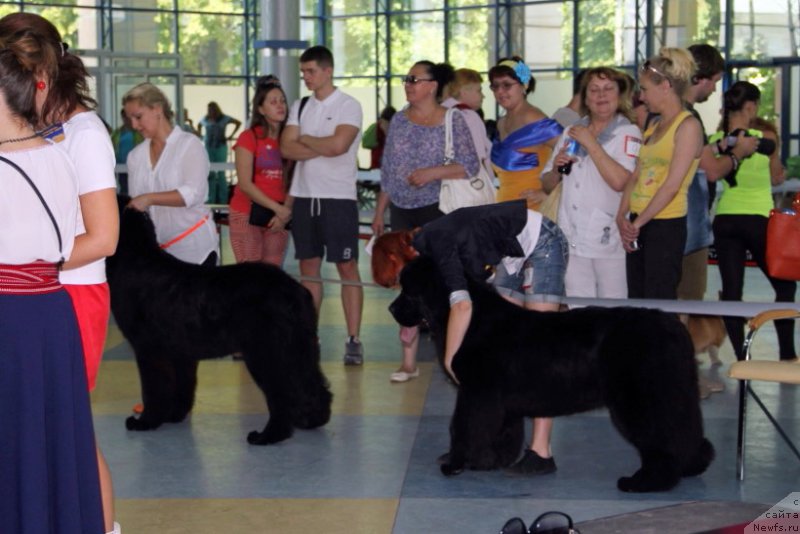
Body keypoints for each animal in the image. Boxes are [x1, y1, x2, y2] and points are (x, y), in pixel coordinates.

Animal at [106, 199, 332, 446]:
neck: (134, 258)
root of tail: (296, 291)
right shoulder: (179, 351)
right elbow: (183, 385)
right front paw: (174, 415)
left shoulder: (149, 349)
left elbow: (154, 389)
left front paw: (146, 421)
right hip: (299, 349)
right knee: (313, 384)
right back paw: (311, 420)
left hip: (267, 353)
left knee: (282, 395)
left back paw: (267, 436)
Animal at [390, 258, 716, 494]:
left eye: (408, 290)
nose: (392, 308)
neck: (466, 317)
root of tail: (675, 328)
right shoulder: (499, 402)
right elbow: (502, 433)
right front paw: (492, 461)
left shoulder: (475, 394)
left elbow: (463, 428)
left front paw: (457, 463)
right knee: (684, 432)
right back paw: (691, 466)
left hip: (641, 402)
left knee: (662, 439)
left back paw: (645, 482)